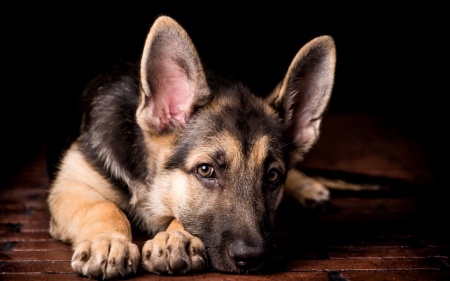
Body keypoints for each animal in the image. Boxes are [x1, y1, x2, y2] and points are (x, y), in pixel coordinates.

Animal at [47, 15, 336, 278]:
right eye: (205, 170)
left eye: (273, 175)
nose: (251, 257)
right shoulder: (71, 187)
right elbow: (104, 207)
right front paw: (109, 241)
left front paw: (175, 237)